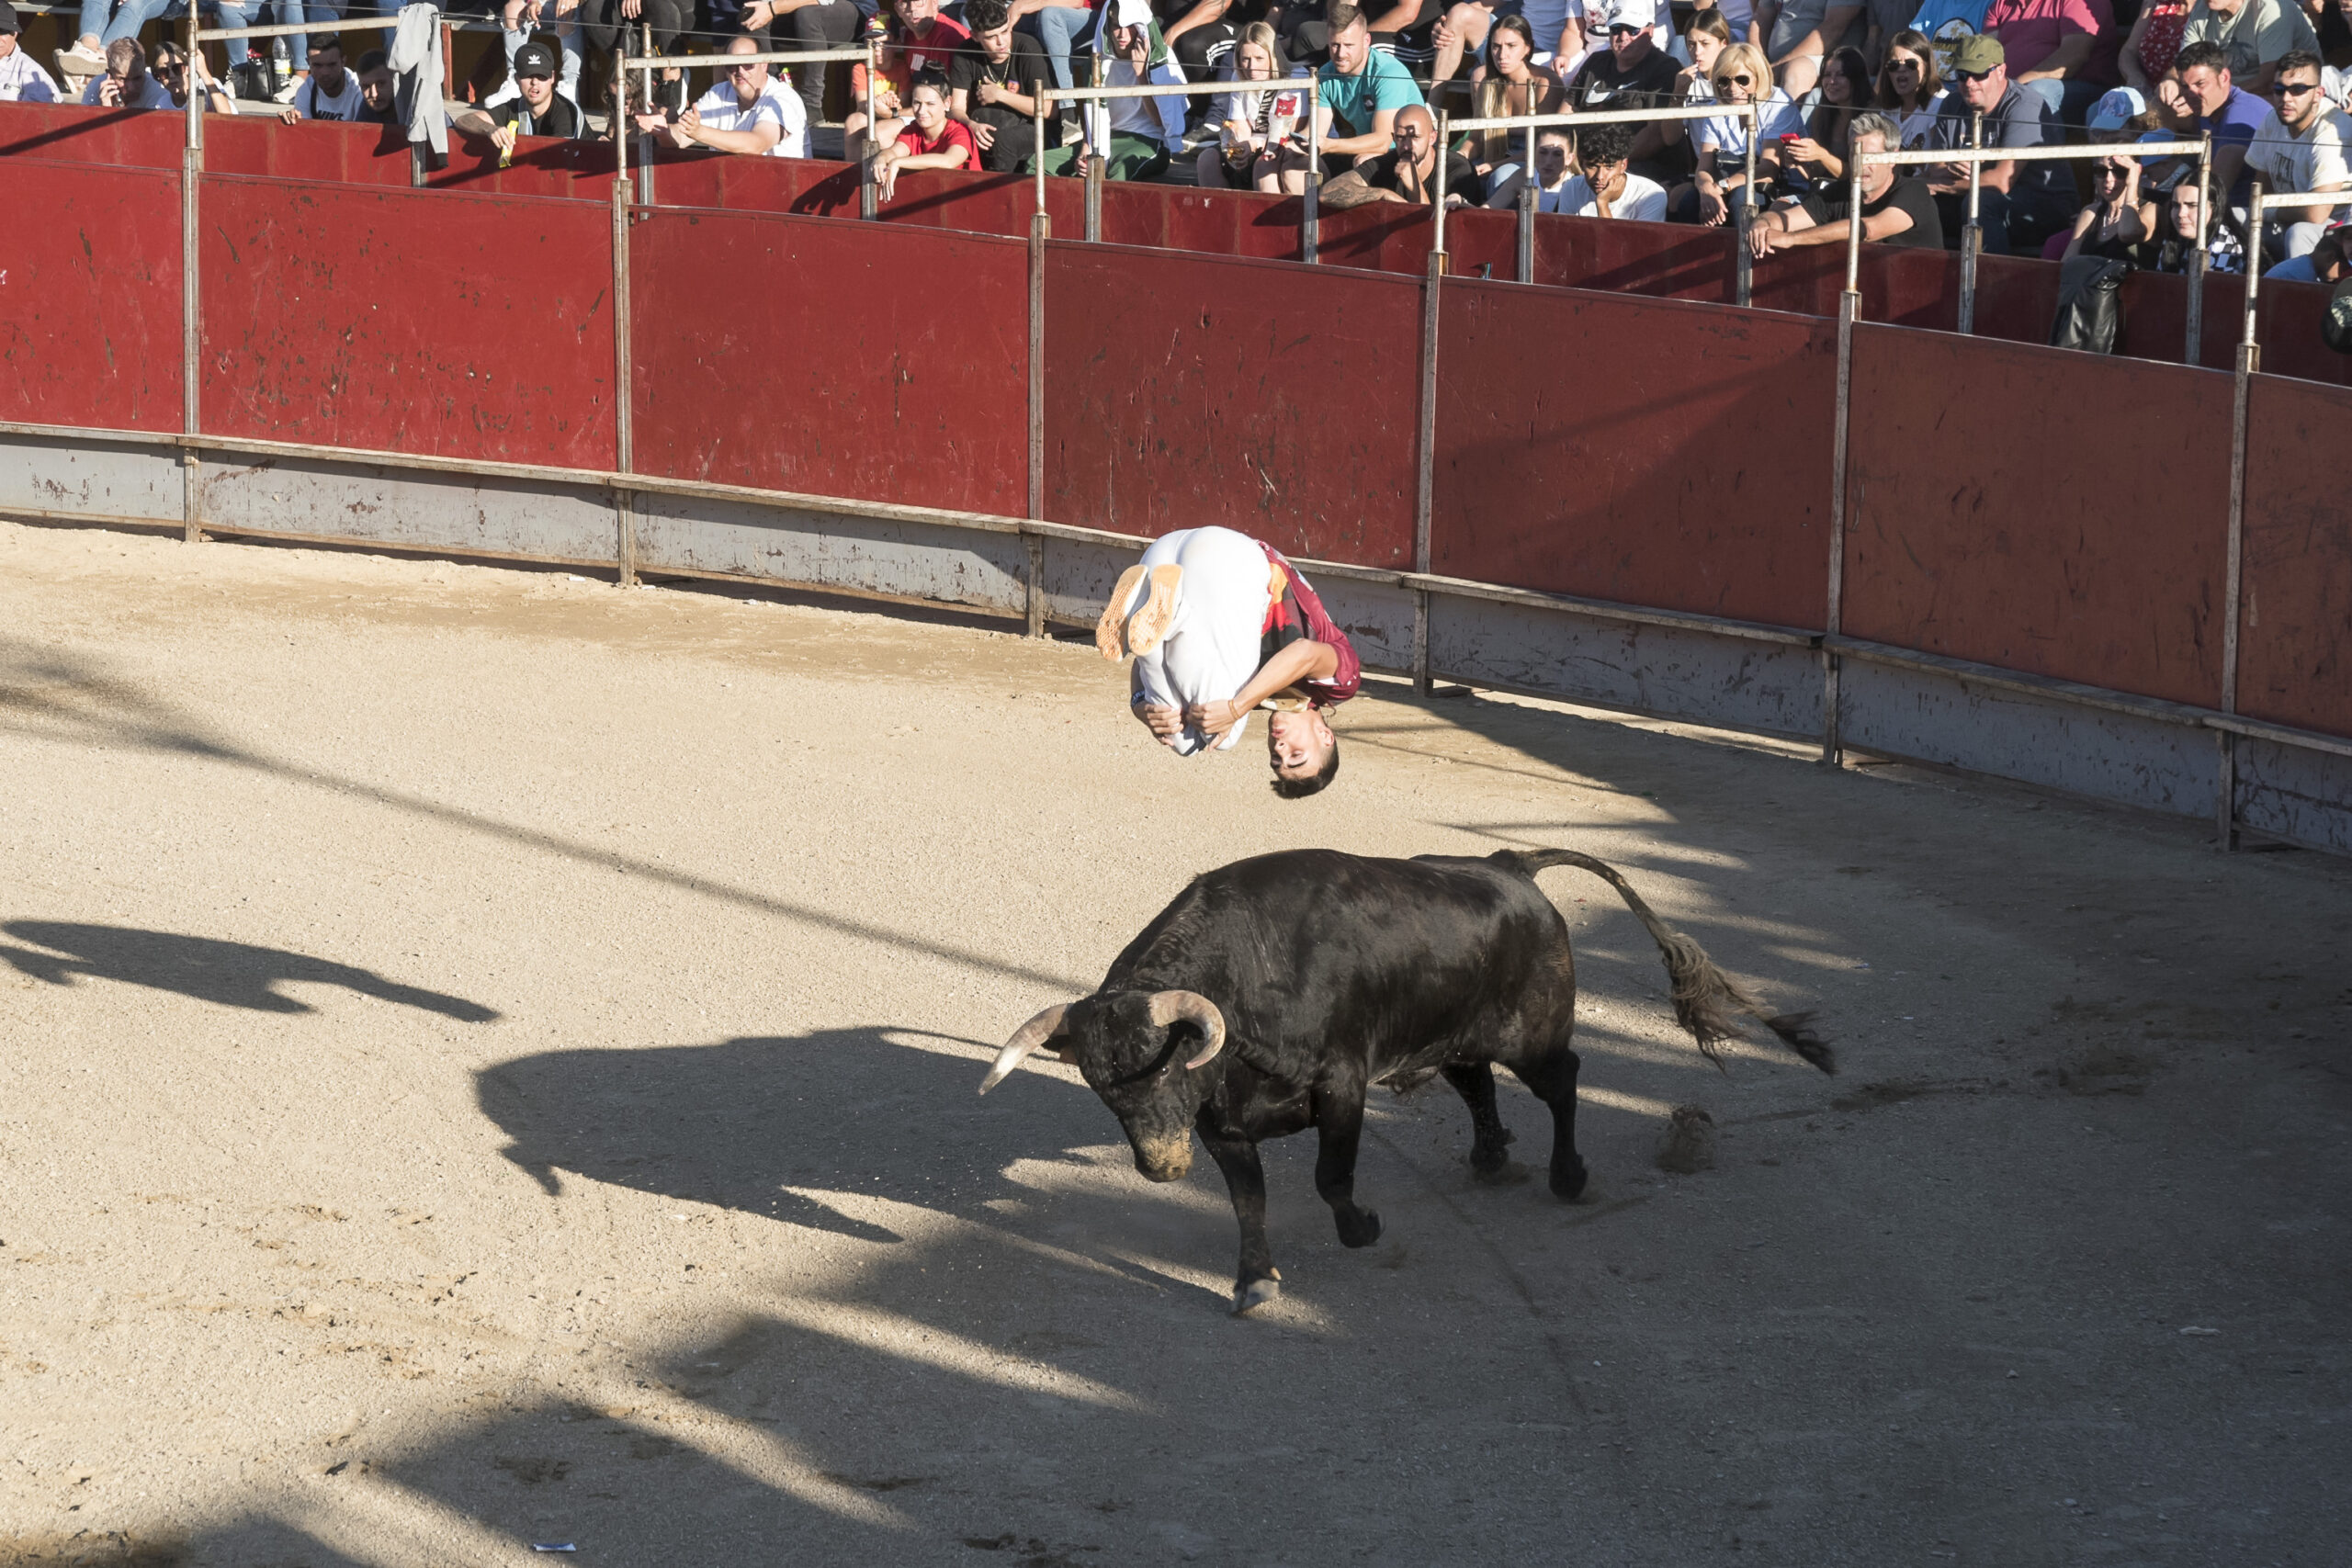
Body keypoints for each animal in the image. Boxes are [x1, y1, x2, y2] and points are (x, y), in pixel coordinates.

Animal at [973, 846, 1834, 1316]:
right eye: (1101, 1087)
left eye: (1162, 1063)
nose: (1160, 1165)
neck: (1247, 976)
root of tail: (1513, 868)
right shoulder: (1221, 1126)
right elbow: (1250, 1201)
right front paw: (1255, 1281)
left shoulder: (1341, 1083)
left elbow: (1330, 1175)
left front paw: (1362, 1228)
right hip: (1457, 1034)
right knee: (1478, 1082)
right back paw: (1490, 1158)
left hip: (1533, 1033)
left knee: (1561, 1080)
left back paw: (1567, 1175)